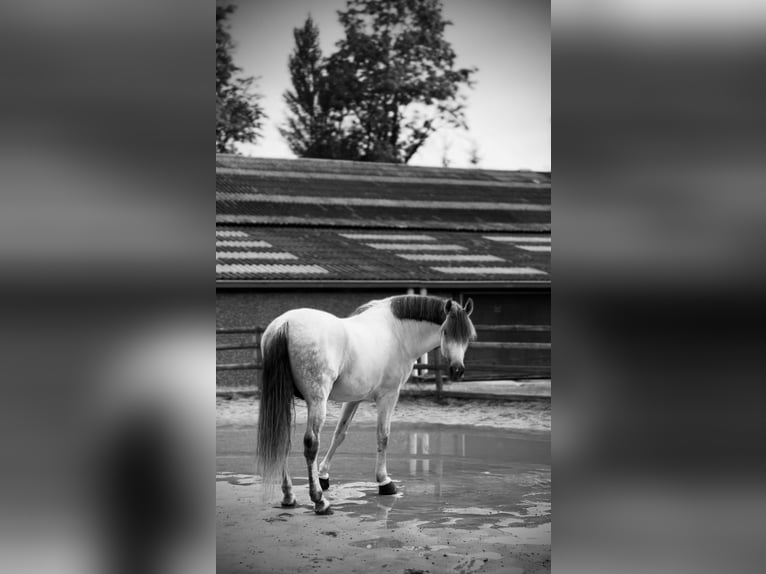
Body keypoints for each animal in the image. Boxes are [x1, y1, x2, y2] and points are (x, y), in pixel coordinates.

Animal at [255, 294, 476, 516]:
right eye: (446, 331)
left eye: (467, 336)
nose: (457, 370)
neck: (398, 332)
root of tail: (284, 324)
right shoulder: (388, 396)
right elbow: (383, 436)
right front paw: (384, 482)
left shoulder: (355, 398)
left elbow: (339, 434)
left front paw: (324, 476)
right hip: (317, 401)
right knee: (311, 444)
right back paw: (319, 501)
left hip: (285, 399)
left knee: (283, 438)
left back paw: (289, 496)